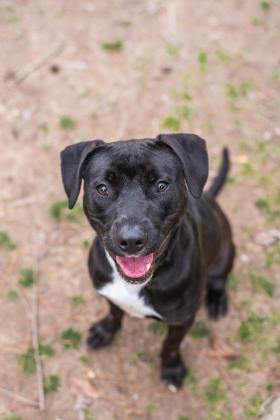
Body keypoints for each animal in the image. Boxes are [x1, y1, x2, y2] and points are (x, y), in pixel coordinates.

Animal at [60, 133, 234, 388]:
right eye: (103, 188)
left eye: (161, 185)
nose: (131, 240)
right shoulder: (110, 295)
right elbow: (114, 313)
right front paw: (105, 331)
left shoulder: (182, 320)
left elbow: (170, 345)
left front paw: (171, 367)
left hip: (226, 253)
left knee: (220, 279)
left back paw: (217, 299)